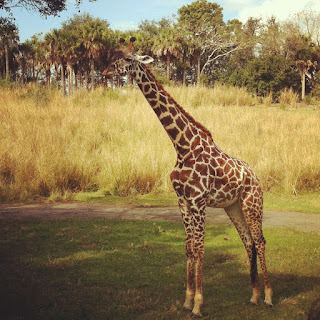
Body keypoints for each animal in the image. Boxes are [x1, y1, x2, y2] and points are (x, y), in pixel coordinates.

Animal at [107, 37, 272, 316]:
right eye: (113, 56)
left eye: (128, 59)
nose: (107, 71)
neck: (182, 146)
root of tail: (256, 176)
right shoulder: (183, 201)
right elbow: (188, 248)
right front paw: (186, 301)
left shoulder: (198, 201)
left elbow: (200, 248)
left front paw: (197, 305)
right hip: (233, 206)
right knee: (248, 241)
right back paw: (254, 296)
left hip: (252, 203)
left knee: (260, 240)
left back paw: (269, 297)